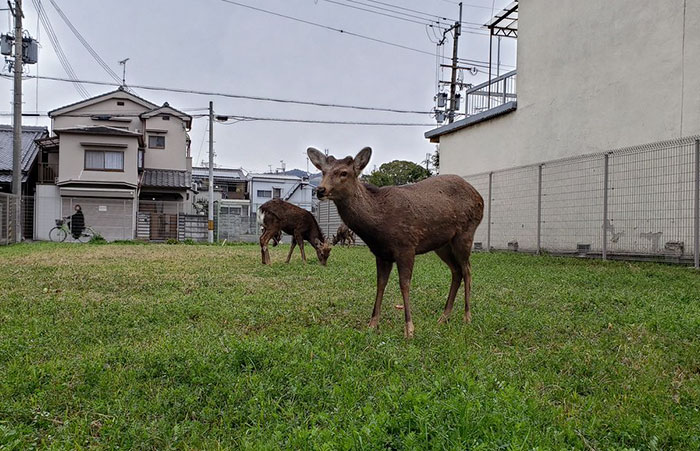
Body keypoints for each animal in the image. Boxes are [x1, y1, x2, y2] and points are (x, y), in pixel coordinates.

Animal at [308, 147, 484, 338]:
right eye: (323, 171)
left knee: (467, 270)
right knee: (456, 271)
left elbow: (404, 284)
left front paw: (409, 329)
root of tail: (480, 197)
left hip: (466, 232)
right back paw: (443, 317)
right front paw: (372, 324)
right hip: (443, 244)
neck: (378, 225)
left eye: (343, 173)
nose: (320, 190)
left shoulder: (406, 246)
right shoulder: (381, 253)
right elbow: (380, 284)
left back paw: (467, 317)